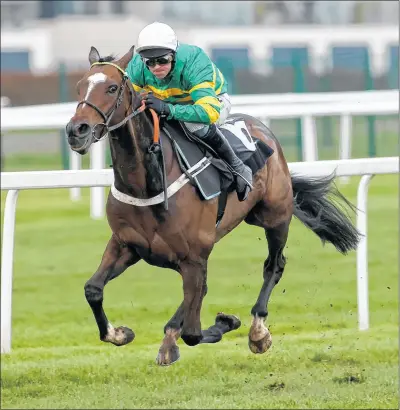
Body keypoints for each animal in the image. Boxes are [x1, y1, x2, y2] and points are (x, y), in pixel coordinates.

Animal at [65, 46, 360, 366]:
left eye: (112, 87)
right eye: (80, 86)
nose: (76, 130)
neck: (146, 185)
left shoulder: (194, 256)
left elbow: (193, 332)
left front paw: (224, 322)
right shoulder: (126, 245)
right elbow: (93, 290)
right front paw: (120, 333)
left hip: (275, 218)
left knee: (274, 266)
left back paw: (258, 331)